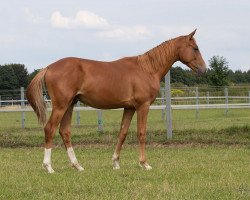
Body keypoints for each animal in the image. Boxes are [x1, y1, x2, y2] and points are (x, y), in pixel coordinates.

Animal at [25, 30, 205, 173]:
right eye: (195, 48)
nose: (204, 69)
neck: (147, 69)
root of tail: (49, 67)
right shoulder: (143, 106)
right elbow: (141, 133)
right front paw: (144, 163)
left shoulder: (129, 108)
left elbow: (122, 133)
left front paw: (116, 162)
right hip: (61, 106)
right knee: (50, 129)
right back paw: (48, 167)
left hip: (70, 105)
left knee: (65, 132)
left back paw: (77, 165)